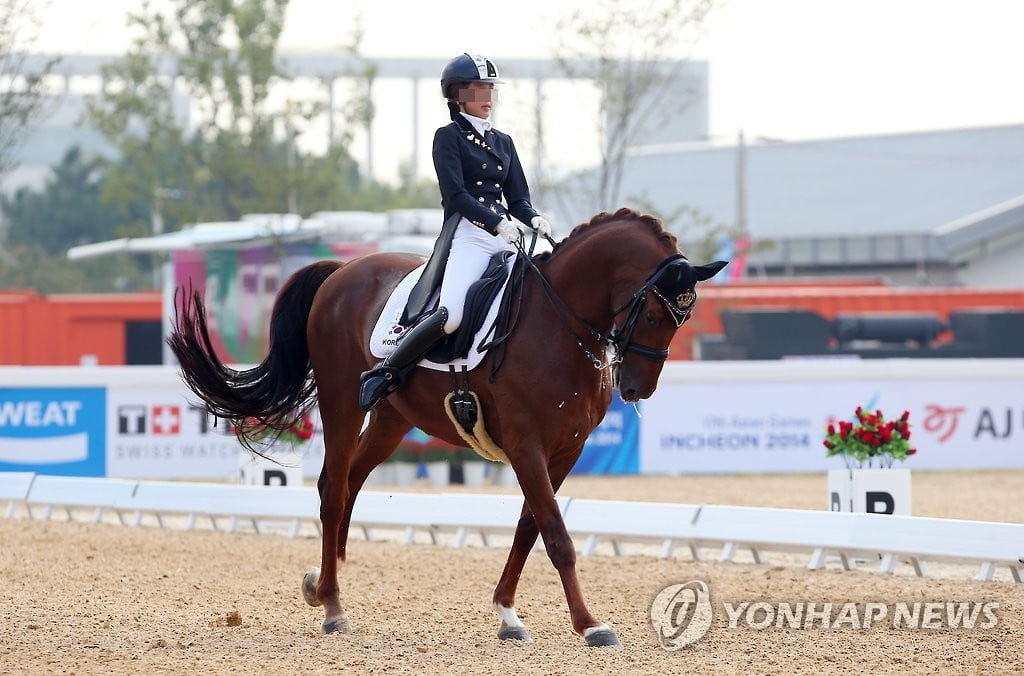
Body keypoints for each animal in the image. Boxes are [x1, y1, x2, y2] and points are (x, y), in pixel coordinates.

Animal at [167, 206, 724, 651]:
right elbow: (557, 536)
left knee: (348, 483)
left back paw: (321, 584)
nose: (637, 389)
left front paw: (508, 615)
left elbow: (530, 527)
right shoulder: (526, 445)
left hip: (392, 419)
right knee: (333, 489)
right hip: (342, 403)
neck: (559, 324)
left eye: (683, 316)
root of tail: (342, 271)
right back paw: (333, 608)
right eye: (653, 313)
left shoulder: (566, 449)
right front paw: (590, 625)